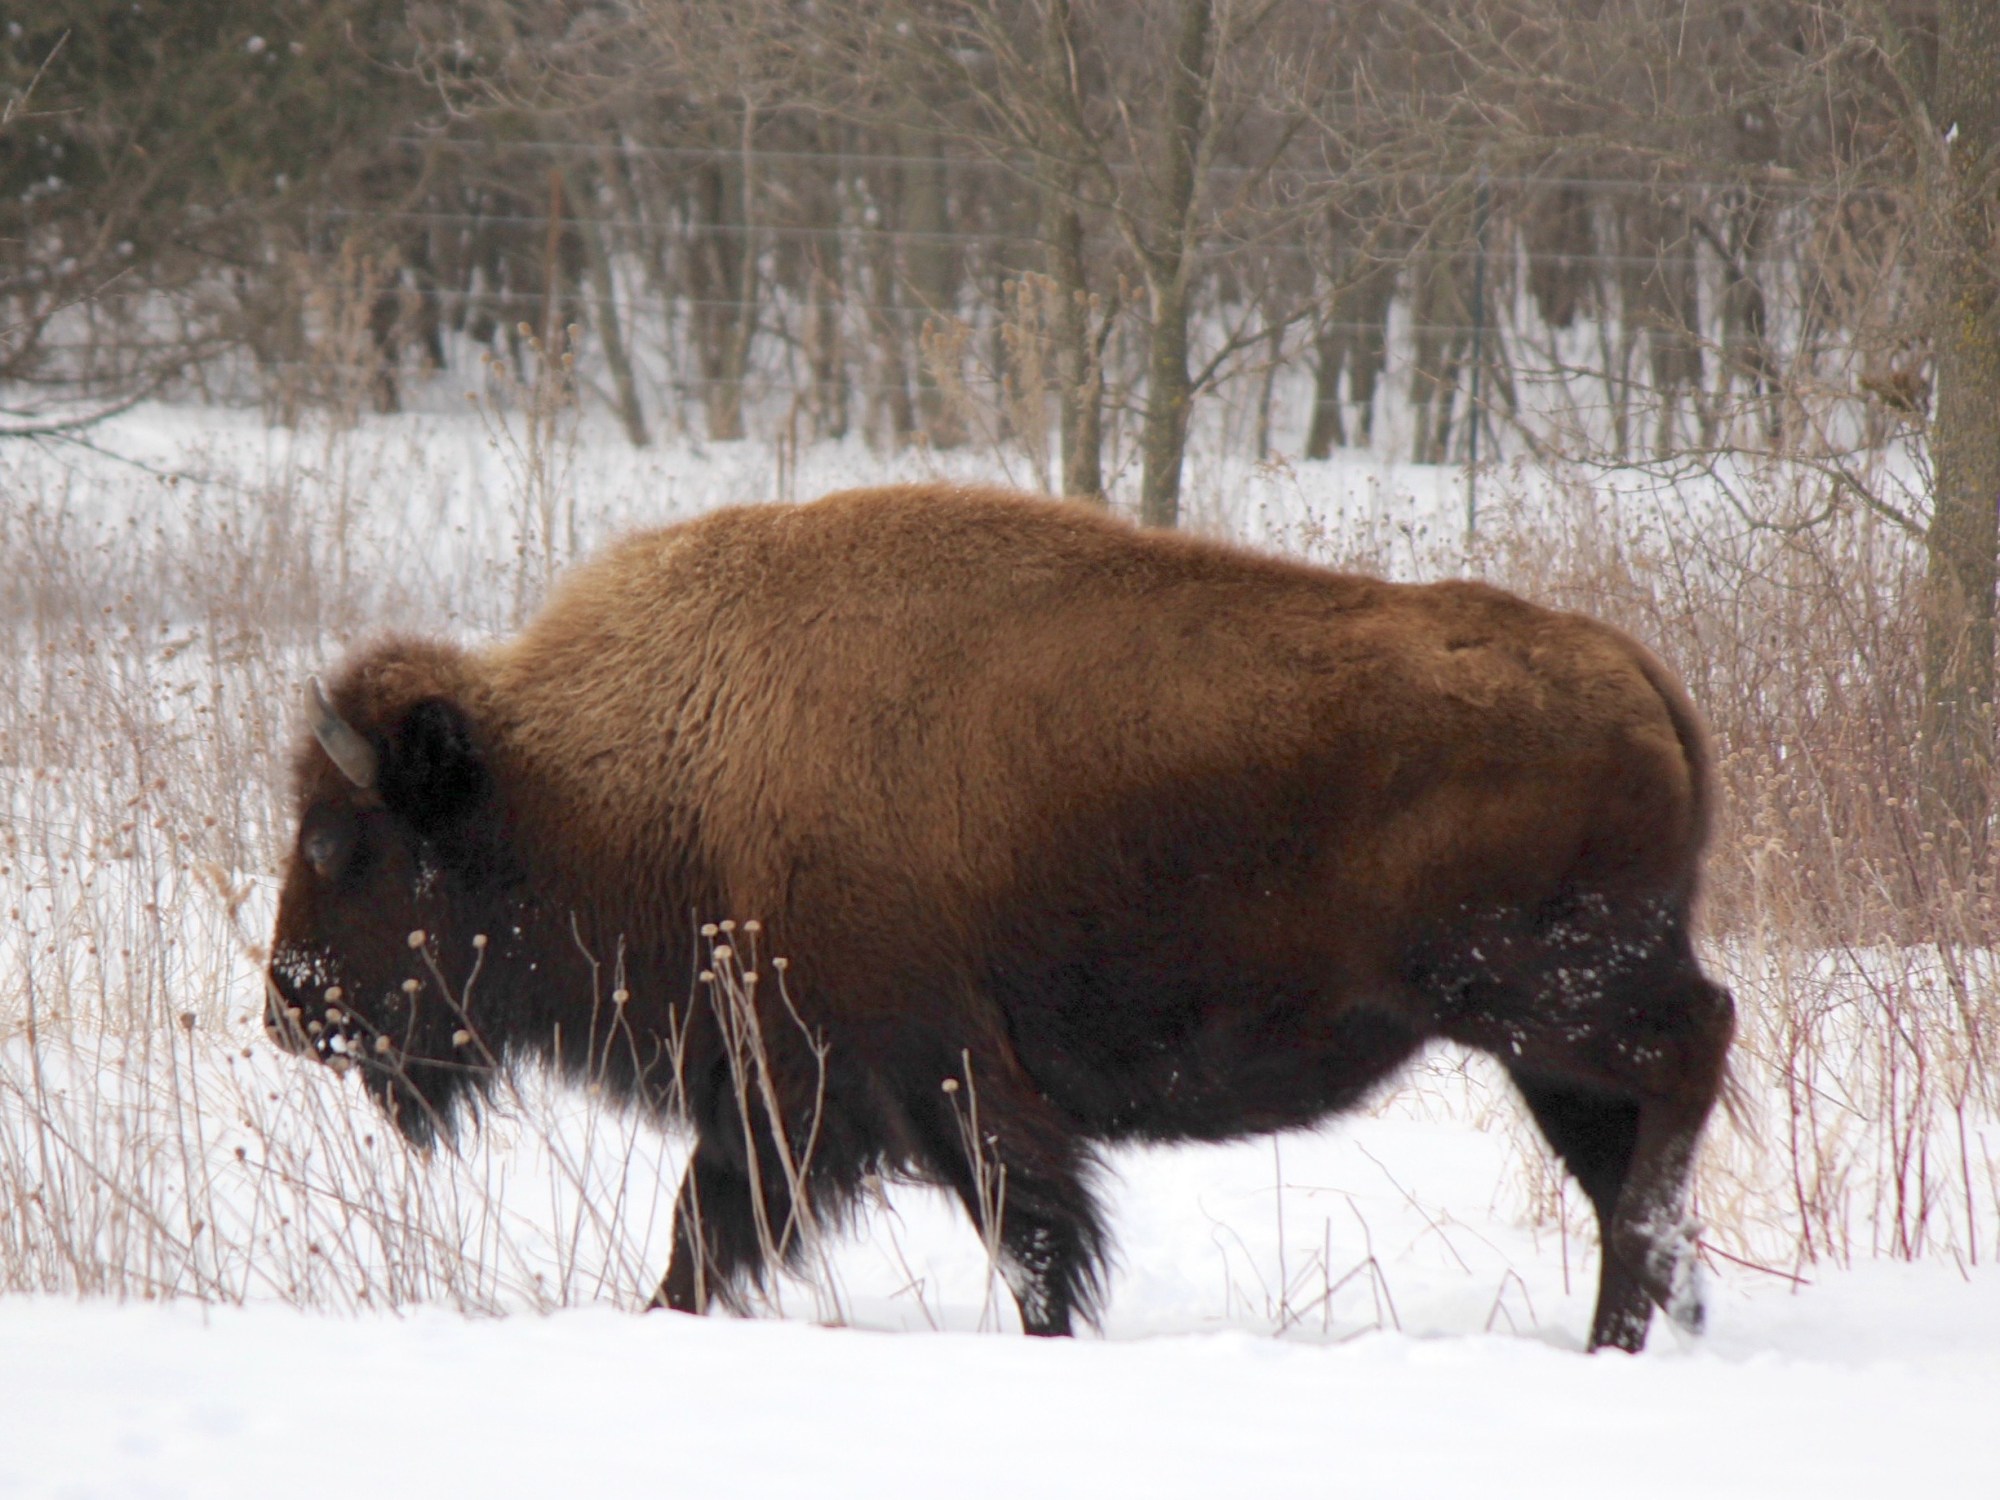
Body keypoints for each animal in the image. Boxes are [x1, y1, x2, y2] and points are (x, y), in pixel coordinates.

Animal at [266, 482, 1733, 1351]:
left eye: (343, 841)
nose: (289, 1006)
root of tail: (1638, 674)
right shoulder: (783, 1101)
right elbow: (704, 1236)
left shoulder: (927, 1083)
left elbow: (1031, 1241)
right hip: (1536, 1042)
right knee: (1623, 1147)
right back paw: (1658, 1319)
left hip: (1545, 998)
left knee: (1688, 1057)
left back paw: (1631, 1322)